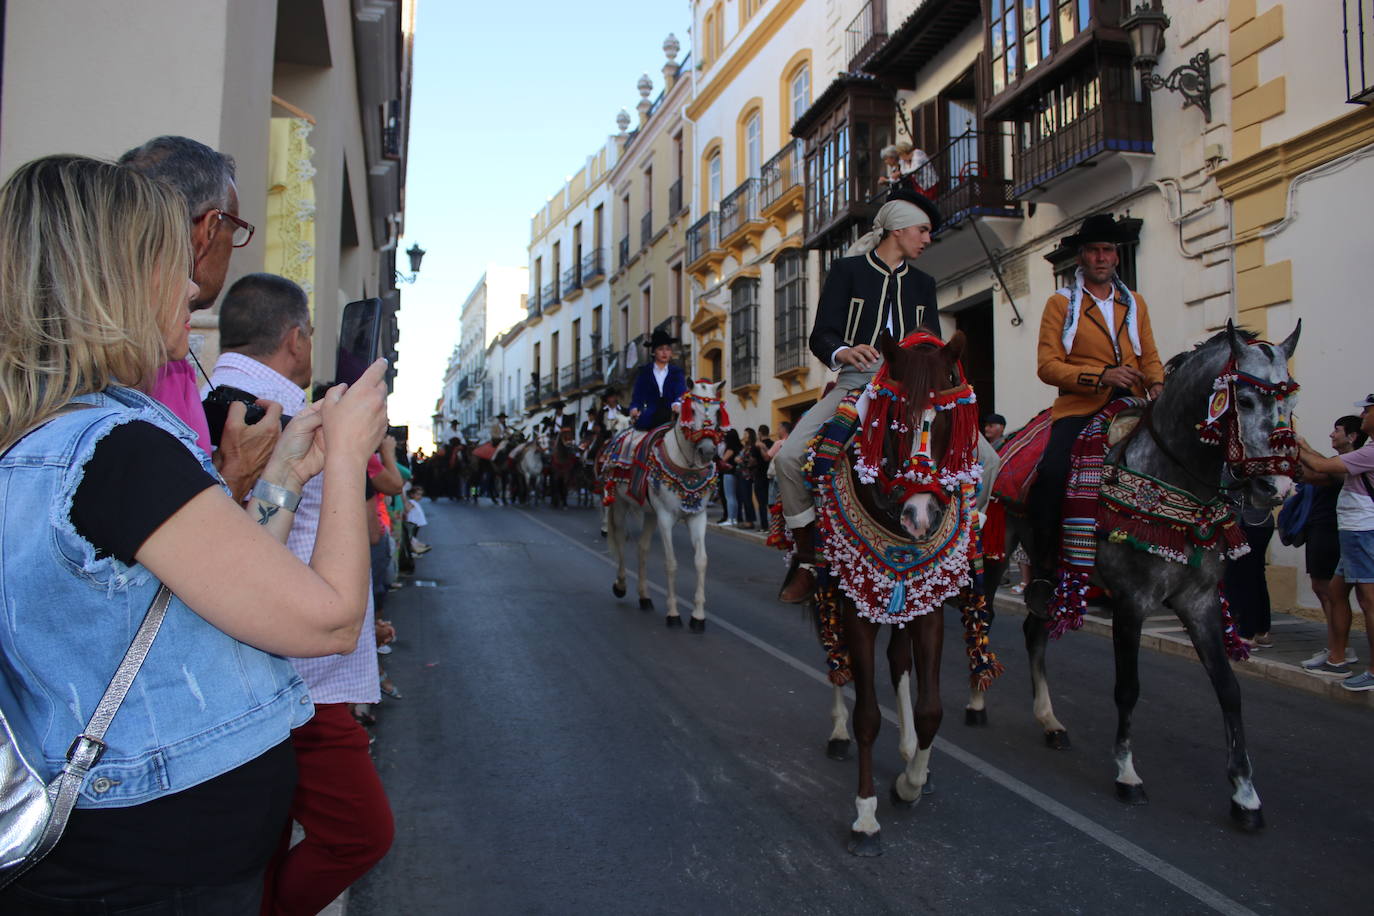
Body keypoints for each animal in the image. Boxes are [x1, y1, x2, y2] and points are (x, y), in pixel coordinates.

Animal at [601, 379, 730, 631]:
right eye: (692, 411)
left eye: (718, 412)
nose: (708, 450)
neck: (687, 466)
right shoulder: (666, 517)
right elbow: (671, 563)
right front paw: (673, 613)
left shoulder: (697, 517)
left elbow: (701, 561)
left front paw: (698, 616)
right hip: (620, 504)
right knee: (620, 540)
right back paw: (620, 585)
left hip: (650, 514)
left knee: (642, 548)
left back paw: (644, 597)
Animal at [978, 322, 1297, 829]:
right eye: (1244, 401)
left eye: (1290, 402)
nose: (1276, 487)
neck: (1173, 480)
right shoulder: (1130, 601)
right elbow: (1128, 688)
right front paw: (1127, 774)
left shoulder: (1200, 602)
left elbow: (1228, 689)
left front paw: (1245, 794)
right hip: (998, 549)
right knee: (986, 616)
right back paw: (977, 703)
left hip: (1052, 567)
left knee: (1035, 629)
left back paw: (1050, 722)